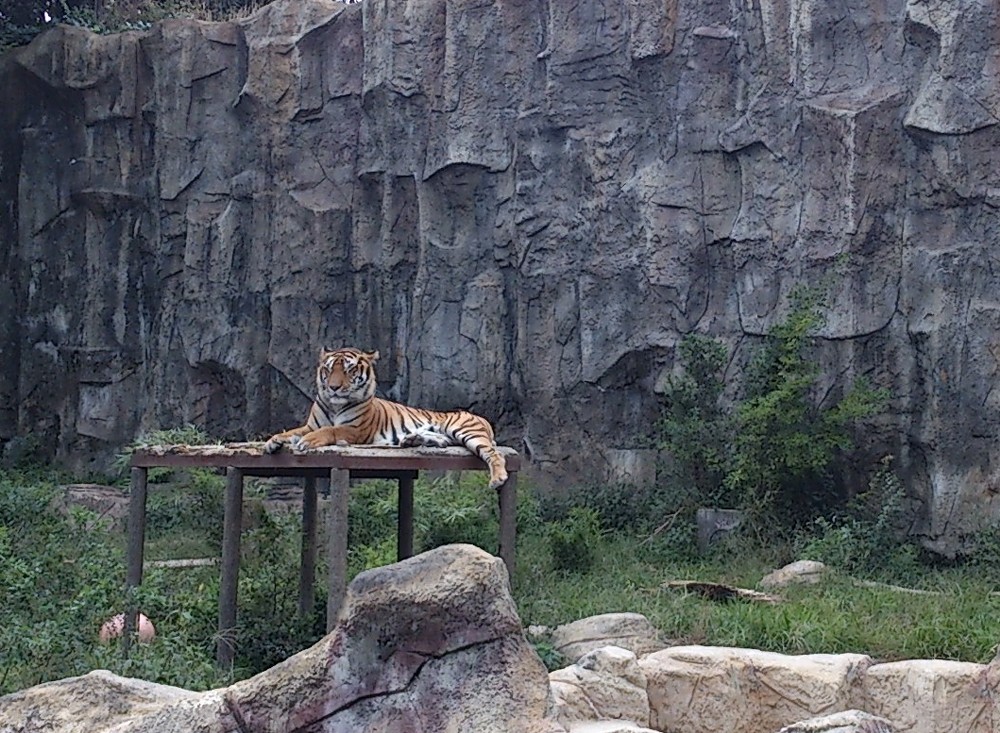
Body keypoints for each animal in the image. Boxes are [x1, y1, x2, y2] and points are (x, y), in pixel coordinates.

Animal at [266, 346, 508, 488]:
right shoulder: (310, 425)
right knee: (441, 441)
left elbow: (329, 430)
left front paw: (306, 442)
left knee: (493, 453)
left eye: (349, 370)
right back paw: (411, 439)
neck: (335, 405)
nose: (333, 388)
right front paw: (272, 442)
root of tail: (480, 418)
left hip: (466, 430)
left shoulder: (354, 430)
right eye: (329, 369)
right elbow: (292, 431)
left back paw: (498, 479)